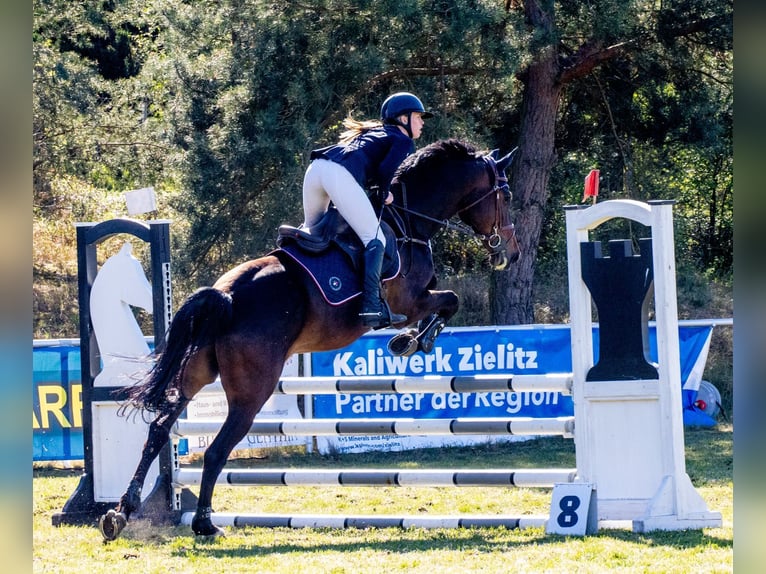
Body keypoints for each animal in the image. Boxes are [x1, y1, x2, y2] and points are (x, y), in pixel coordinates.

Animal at [98, 138, 520, 541]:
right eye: (506, 196)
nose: (511, 254)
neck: (410, 222)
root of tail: (227, 295)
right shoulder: (411, 300)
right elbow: (451, 300)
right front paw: (414, 341)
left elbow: (448, 302)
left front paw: (409, 341)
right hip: (252, 391)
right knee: (216, 450)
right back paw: (204, 523)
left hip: (196, 372)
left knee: (159, 429)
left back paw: (121, 512)